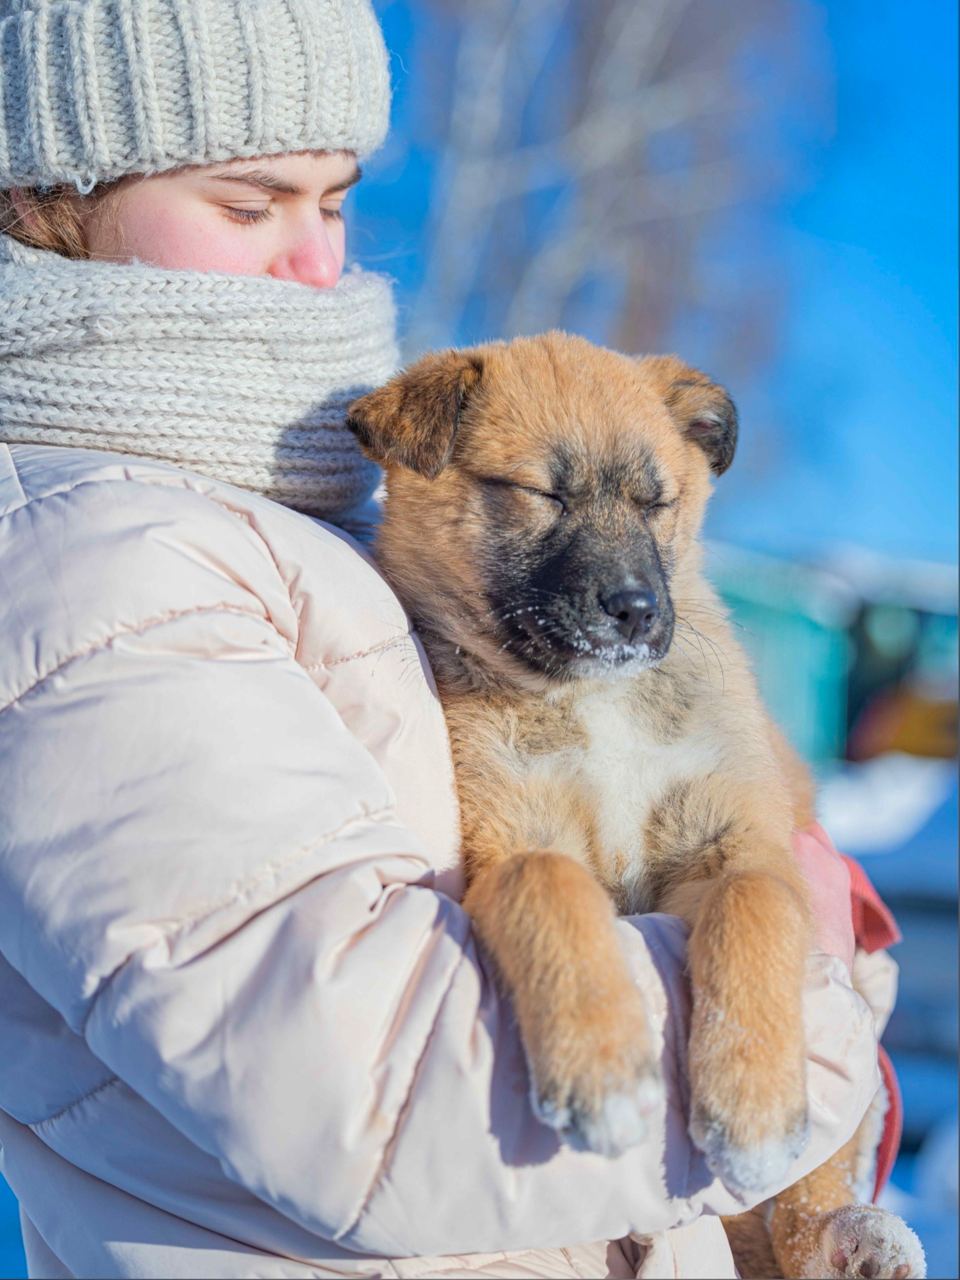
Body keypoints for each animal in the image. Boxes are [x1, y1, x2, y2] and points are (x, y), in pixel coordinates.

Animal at [345, 332, 926, 1280]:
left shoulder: (741, 838)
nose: (636, 610)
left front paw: (752, 1106)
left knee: (808, 1198)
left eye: (660, 504)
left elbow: (753, 909)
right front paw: (604, 1071)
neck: (595, 700)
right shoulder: (515, 838)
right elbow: (553, 891)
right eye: (543, 493)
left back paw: (860, 1239)